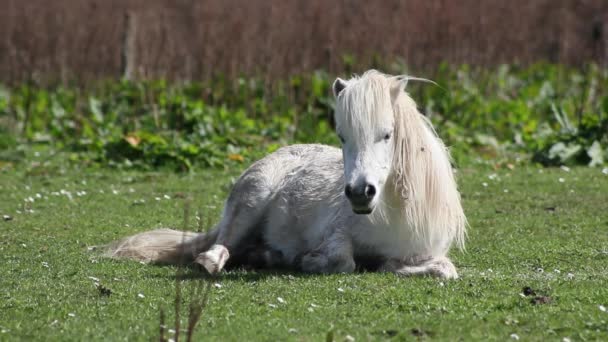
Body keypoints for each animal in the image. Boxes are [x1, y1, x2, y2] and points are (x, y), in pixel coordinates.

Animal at [105, 69, 466, 278]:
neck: (394, 215)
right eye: (342, 136)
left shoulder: (427, 252)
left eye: (387, 134)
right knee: (219, 247)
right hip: (251, 201)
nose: (359, 193)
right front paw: (309, 261)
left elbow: (444, 270)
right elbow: (343, 260)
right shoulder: (334, 235)